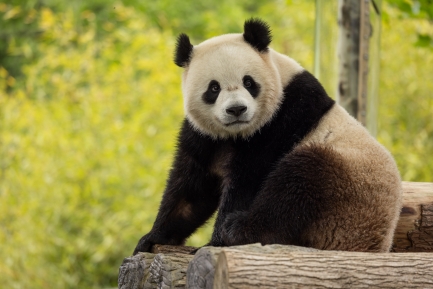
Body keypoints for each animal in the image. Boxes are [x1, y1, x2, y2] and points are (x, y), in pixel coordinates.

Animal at [132, 18, 402, 253]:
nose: (236, 109)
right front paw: (152, 238)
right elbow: (192, 188)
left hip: (347, 191)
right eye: (214, 88)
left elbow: (248, 180)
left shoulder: (281, 120)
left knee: (297, 184)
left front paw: (216, 242)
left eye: (249, 82)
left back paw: (239, 229)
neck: (236, 134)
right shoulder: (205, 136)